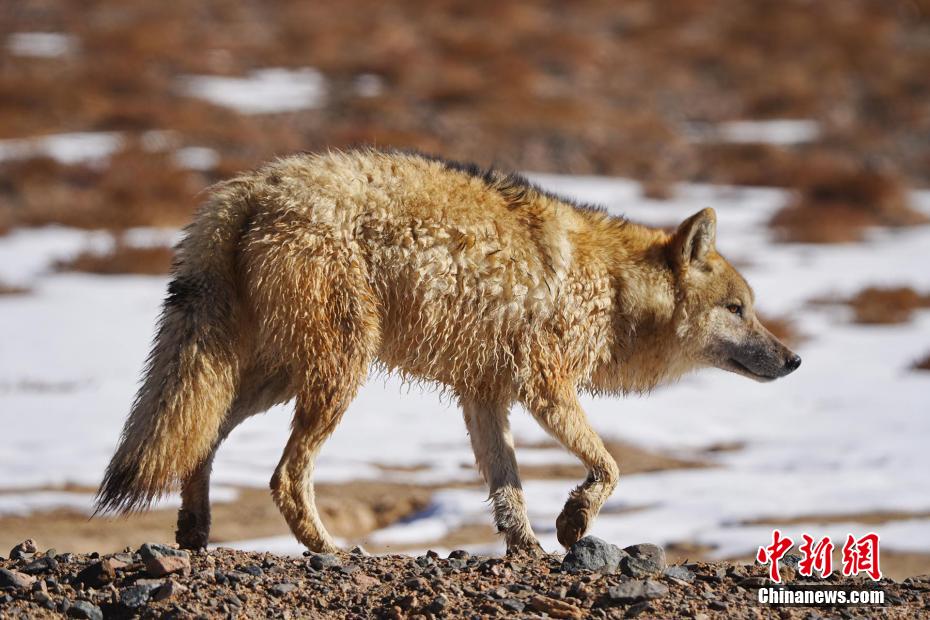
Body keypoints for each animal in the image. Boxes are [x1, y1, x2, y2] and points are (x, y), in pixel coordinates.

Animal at [94, 148, 796, 556]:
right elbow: (611, 467)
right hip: (335, 375)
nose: (793, 361)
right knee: (284, 476)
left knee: (202, 439)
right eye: (739, 310)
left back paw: (194, 534)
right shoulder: (546, 388)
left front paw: (530, 553)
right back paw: (331, 550)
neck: (610, 288)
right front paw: (572, 525)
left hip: (281, 375)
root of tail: (255, 185)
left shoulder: (485, 396)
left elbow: (509, 492)